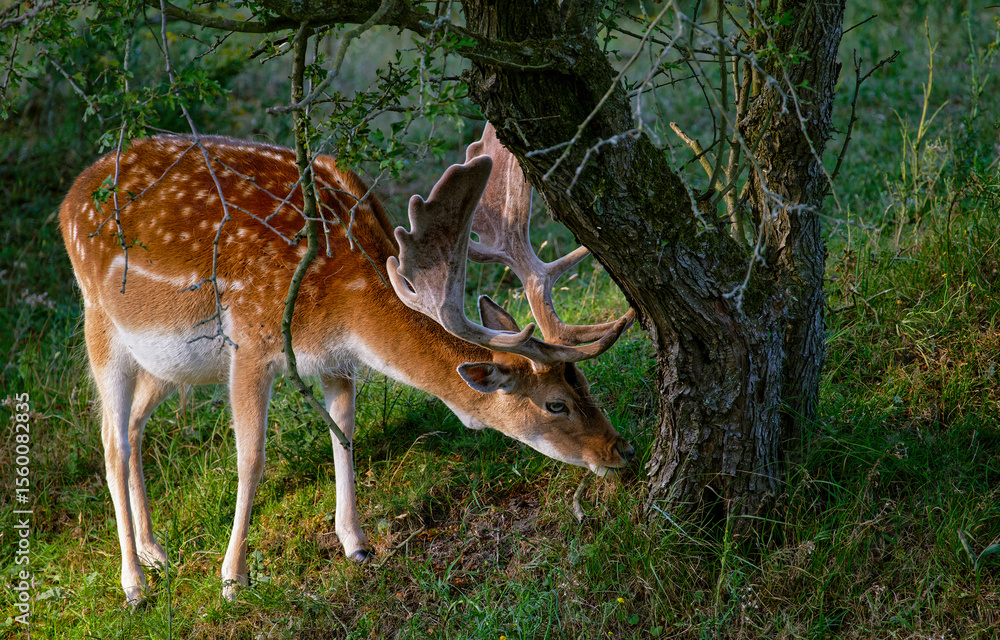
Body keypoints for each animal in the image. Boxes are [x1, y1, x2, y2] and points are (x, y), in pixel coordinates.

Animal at [59, 123, 635, 605]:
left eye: (584, 383)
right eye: (555, 404)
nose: (620, 449)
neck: (344, 302)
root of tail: (69, 198)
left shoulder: (337, 359)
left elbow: (344, 435)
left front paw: (356, 543)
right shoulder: (251, 340)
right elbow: (251, 460)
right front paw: (232, 579)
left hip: (163, 362)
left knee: (134, 426)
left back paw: (155, 551)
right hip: (99, 320)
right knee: (110, 440)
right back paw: (134, 584)